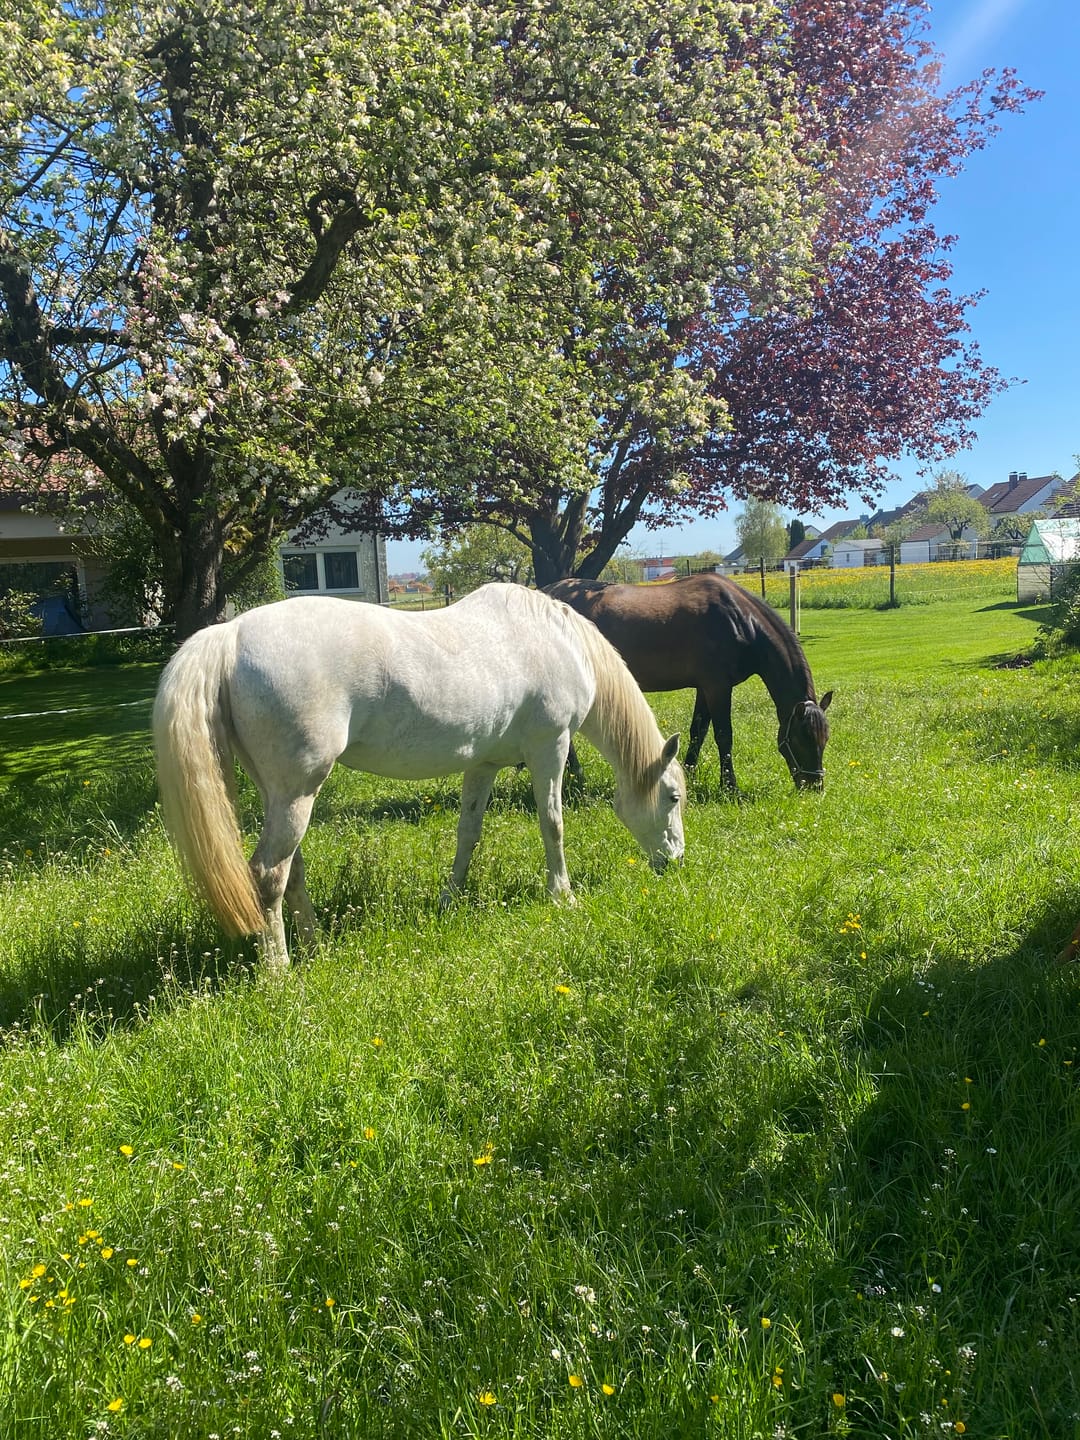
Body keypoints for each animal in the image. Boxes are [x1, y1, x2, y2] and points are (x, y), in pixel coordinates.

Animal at [152, 583, 685, 970]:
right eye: (674, 797)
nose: (675, 862)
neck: (559, 642)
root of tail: (231, 635)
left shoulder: (483, 765)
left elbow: (468, 832)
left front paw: (450, 900)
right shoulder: (549, 749)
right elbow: (552, 825)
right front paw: (563, 896)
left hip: (280, 794)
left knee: (290, 870)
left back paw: (316, 947)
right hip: (297, 790)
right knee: (267, 874)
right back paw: (279, 971)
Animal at [546, 573, 832, 792]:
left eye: (825, 738)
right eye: (801, 738)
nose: (814, 785)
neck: (740, 621)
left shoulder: (705, 688)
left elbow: (699, 732)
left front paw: (689, 774)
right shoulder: (718, 687)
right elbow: (723, 735)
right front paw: (729, 786)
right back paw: (576, 777)